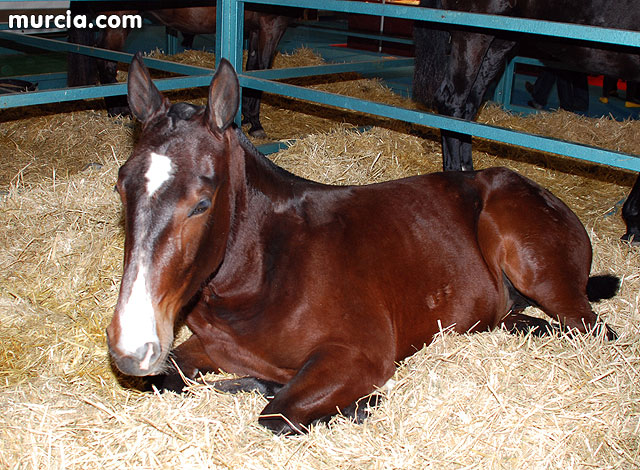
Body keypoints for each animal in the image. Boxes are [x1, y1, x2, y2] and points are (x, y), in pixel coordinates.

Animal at [66, 2, 296, 138]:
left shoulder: (257, 30)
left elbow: (252, 69)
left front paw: (248, 117)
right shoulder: (271, 26)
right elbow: (261, 69)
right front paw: (256, 124)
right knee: (105, 61)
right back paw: (119, 111)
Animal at [107, 53, 616, 436]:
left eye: (201, 203)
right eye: (120, 186)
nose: (130, 349)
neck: (266, 269)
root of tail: (547, 194)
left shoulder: (359, 358)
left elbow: (277, 414)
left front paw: (357, 405)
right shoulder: (206, 349)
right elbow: (170, 380)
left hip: (538, 271)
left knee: (593, 329)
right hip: (502, 307)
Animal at [412, 0, 640, 246]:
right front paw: (633, 223)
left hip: (499, 41)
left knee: (469, 107)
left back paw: (468, 172)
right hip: (472, 34)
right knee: (453, 101)